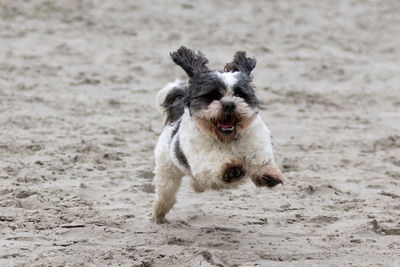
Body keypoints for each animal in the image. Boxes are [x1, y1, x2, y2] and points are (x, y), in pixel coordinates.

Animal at [152, 46, 282, 224]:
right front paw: (230, 170)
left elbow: (260, 158)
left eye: (239, 94)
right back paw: (159, 214)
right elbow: (214, 162)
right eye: (212, 95)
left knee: (195, 183)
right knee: (166, 193)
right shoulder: (202, 158)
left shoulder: (256, 142)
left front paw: (266, 173)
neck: (228, 139)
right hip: (166, 171)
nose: (229, 104)